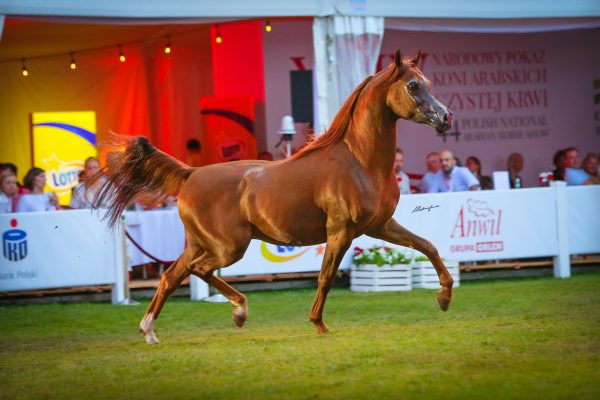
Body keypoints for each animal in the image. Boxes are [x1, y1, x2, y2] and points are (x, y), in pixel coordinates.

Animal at [96, 50, 454, 344]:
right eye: (413, 86)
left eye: (428, 83)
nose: (445, 117)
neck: (359, 161)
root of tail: (190, 173)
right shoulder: (340, 232)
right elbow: (325, 277)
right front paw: (319, 324)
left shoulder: (380, 226)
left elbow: (428, 246)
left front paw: (444, 297)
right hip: (229, 248)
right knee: (198, 271)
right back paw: (239, 311)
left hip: (202, 244)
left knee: (172, 276)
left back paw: (150, 330)